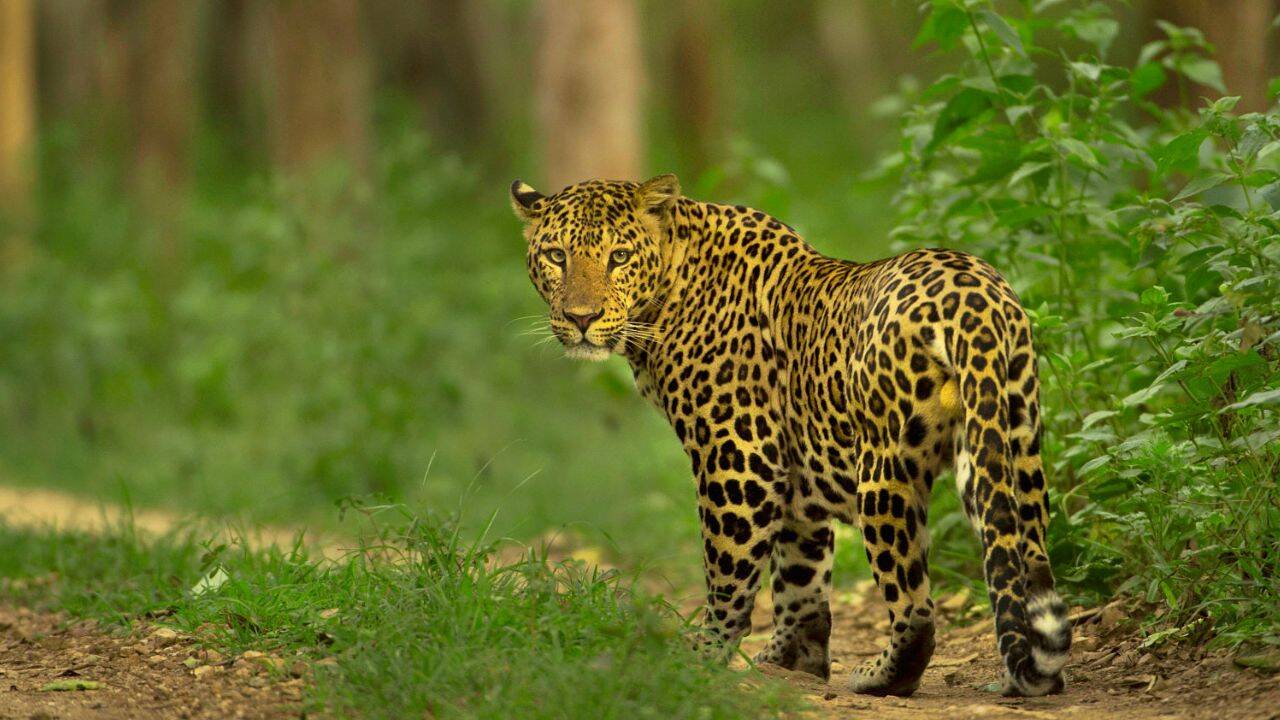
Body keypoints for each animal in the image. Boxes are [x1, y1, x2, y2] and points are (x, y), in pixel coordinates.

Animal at [509, 174, 1071, 697]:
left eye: (619, 257)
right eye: (557, 256)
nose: (581, 318)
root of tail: (975, 299)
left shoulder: (739, 457)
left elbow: (729, 569)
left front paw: (703, 656)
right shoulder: (799, 472)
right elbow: (801, 574)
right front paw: (793, 661)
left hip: (885, 470)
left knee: (914, 606)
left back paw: (882, 676)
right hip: (1010, 444)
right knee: (1024, 559)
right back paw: (1033, 673)